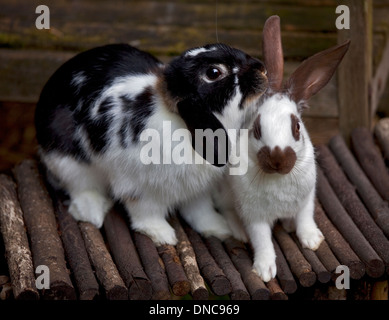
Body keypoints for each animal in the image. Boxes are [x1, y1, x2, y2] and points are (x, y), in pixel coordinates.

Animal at [35, 42, 266, 245]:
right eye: (214, 72)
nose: (262, 68)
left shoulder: (196, 191)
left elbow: (201, 212)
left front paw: (219, 229)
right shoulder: (139, 188)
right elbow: (147, 214)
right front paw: (163, 235)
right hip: (68, 163)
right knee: (80, 187)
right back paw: (92, 212)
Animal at [217, 15, 350, 280]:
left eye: (297, 127)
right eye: (256, 128)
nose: (277, 159)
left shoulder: (307, 199)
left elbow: (305, 219)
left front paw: (313, 240)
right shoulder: (254, 215)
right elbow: (262, 240)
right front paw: (264, 270)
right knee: (227, 211)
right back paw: (239, 232)